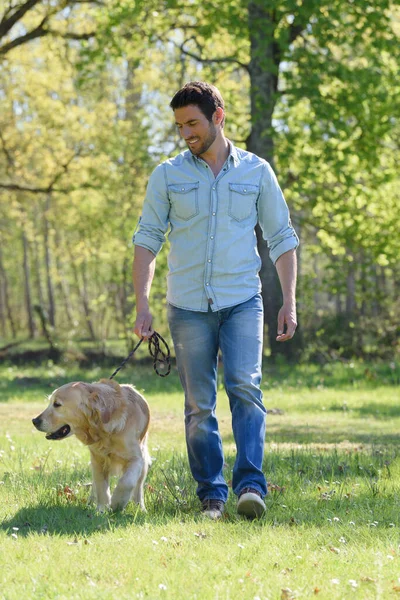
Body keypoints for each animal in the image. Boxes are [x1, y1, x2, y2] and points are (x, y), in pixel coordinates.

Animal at [32, 380, 151, 510]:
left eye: (57, 404)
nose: (34, 421)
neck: (107, 431)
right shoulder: (97, 459)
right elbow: (101, 486)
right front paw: (102, 509)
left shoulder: (136, 458)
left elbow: (127, 482)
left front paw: (117, 502)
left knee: (138, 486)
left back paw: (140, 507)